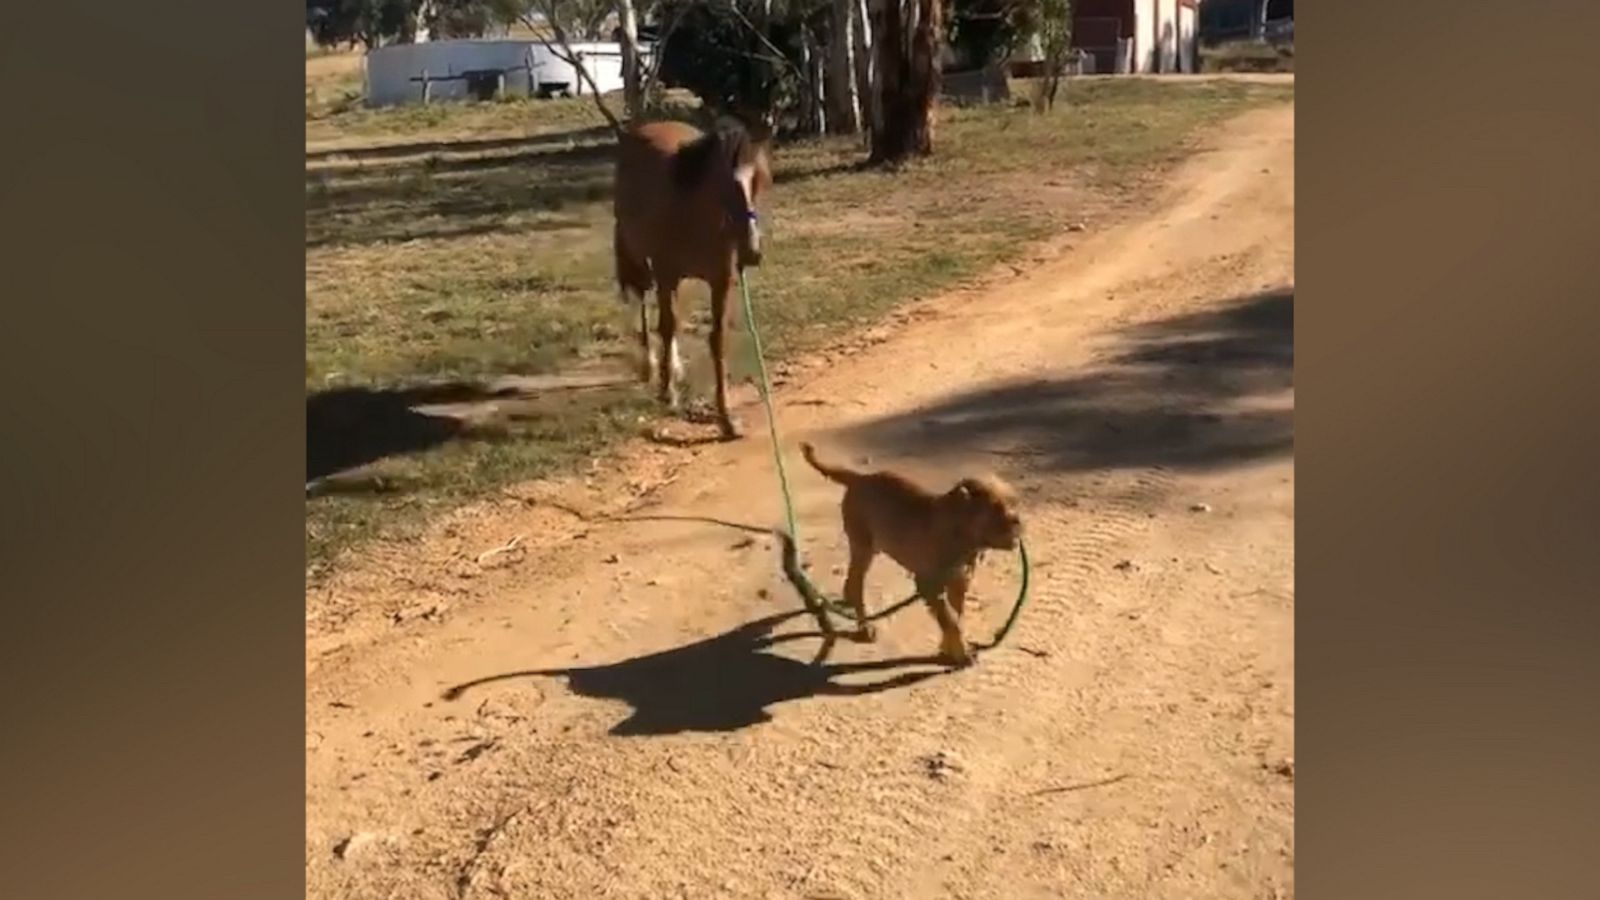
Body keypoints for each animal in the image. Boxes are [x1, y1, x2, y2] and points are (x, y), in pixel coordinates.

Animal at [611, 117, 774, 438]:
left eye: (758, 181)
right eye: (725, 184)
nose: (752, 252)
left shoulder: (721, 280)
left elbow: (717, 339)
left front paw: (726, 418)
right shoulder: (666, 274)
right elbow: (667, 326)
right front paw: (669, 393)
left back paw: (672, 367)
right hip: (639, 259)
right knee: (643, 304)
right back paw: (651, 367)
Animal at [800, 441, 1024, 666]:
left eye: (1014, 502)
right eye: (996, 508)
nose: (1018, 522)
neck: (962, 534)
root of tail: (861, 478)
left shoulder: (959, 582)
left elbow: (956, 616)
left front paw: (948, 648)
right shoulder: (928, 585)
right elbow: (950, 621)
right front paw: (961, 653)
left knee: (851, 582)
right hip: (863, 546)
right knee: (856, 585)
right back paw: (865, 627)